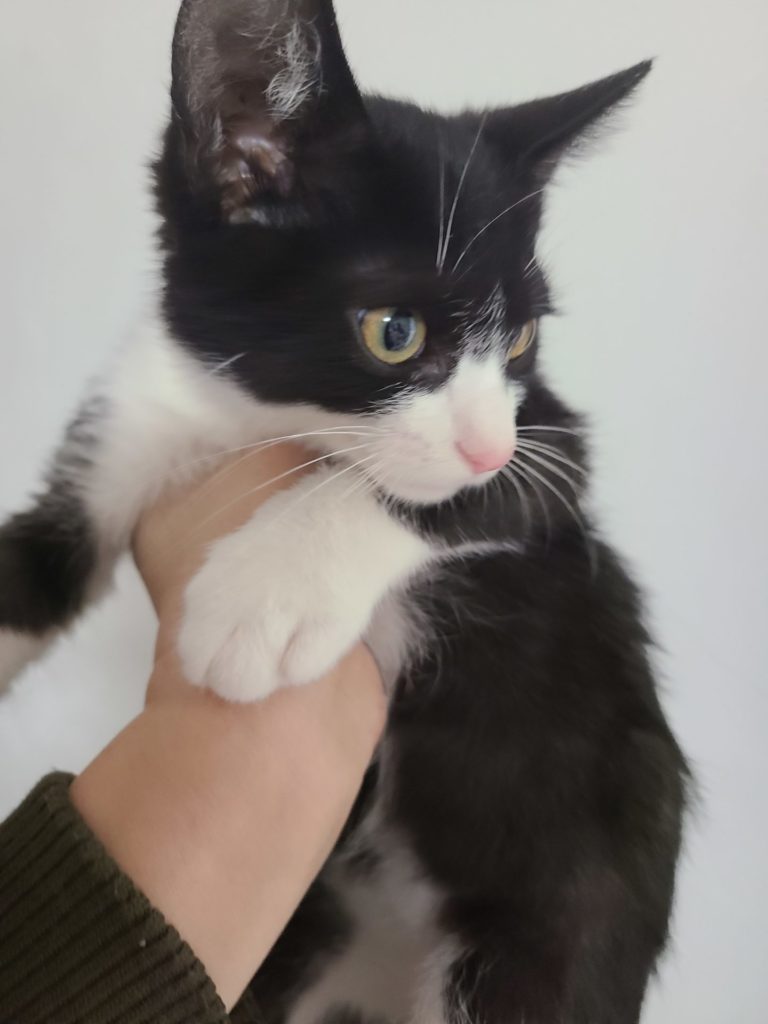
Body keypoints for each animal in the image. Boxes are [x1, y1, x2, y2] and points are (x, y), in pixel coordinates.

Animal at [0, 1, 688, 1021]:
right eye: (394, 332)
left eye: (521, 339)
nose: (486, 445)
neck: (250, 418)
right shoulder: (132, 423)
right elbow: (35, 568)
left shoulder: (552, 438)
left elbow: (469, 491)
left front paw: (264, 593)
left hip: (552, 928)